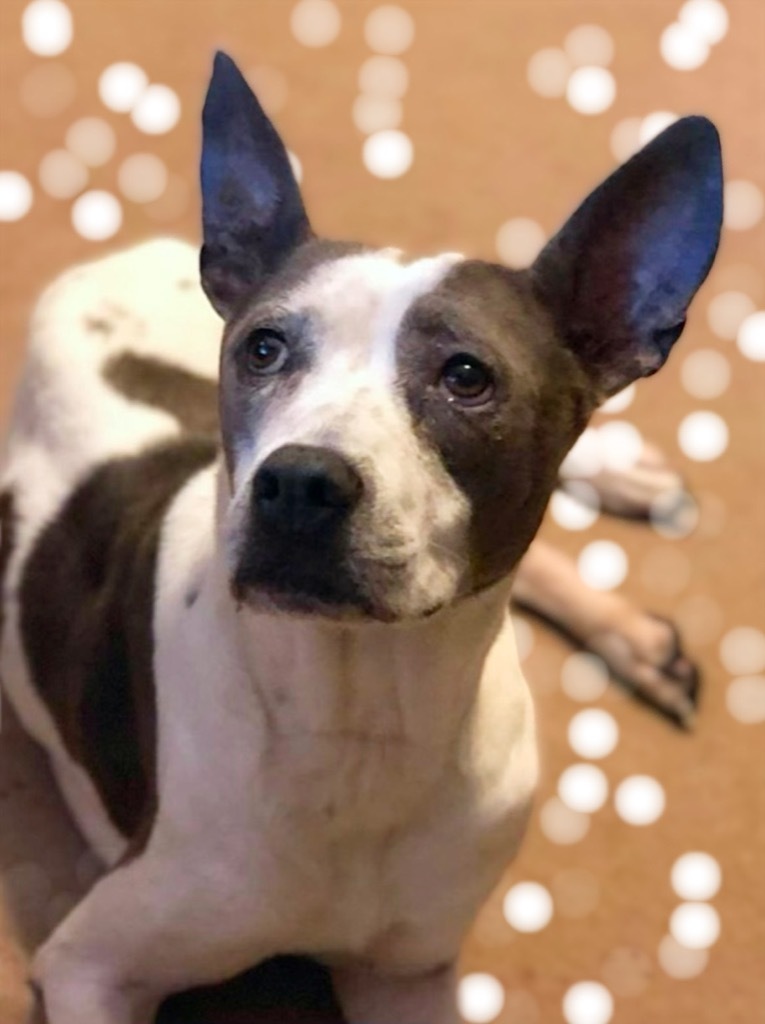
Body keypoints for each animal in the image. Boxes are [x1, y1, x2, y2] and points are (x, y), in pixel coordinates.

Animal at [0, 51, 722, 1024]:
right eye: (264, 349)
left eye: (467, 376)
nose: (298, 487)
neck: (362, 718)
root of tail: (121, 254)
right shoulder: (92, 967)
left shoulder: (410, 972)